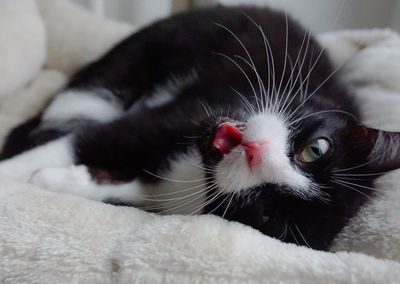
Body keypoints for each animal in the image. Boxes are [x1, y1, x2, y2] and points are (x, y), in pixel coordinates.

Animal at [0, 5, 400, 251]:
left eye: (268, 212)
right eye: (315, 149)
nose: (256, 152)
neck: (196, 172)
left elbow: (136, 193)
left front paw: (60, 180)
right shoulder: (190, 114)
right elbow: (92, 140)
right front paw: (15, 176)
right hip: (139, 53)